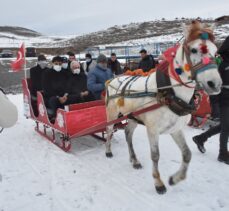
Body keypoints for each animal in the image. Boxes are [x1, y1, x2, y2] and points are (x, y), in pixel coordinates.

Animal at [105, 21, 222, 195]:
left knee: (128, 134)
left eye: (216, 52)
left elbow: (187, 154)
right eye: (194, 49)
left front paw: (175, 179)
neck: (169, 93)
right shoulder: (153, 130)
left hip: (132, 116)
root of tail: (113, 79)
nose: (215, 84)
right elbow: (155, 156)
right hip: (112, 115)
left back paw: (134, 160)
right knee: (108, 130)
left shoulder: (176, 129)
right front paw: (158, 183)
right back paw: (108, 151)